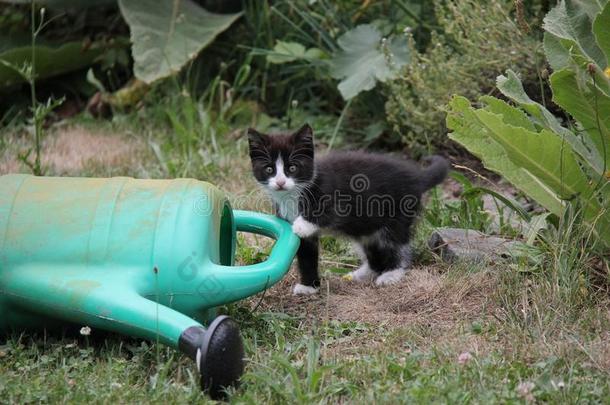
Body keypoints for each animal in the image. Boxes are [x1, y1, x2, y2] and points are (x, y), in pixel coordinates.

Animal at [245, 122, 448, 294]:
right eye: (269, 169)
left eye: (292, 168)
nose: (280, 182)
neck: (295, 194)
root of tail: (417, 178)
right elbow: (306, 255)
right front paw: (309, 287)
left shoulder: (340, 198)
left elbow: (327, 212)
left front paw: (302, 224)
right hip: (367, 227)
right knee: (373, 250)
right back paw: (363, 274)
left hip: (396, 215)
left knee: (397, 245)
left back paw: (393, 273)